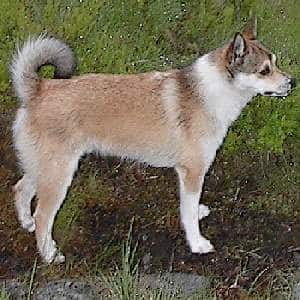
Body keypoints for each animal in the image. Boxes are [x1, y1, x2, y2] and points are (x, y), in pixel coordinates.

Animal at [11, 18, 296, 262]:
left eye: (274, 62)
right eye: (264, 70)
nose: (292, 82)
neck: (211, 93)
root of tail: (38, 90)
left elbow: (190, 206)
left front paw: (198, 213)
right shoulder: (193, 172)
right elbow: (188, 212)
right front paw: (197, 244)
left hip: (44, 169)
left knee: (21, 190)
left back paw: (26, 222)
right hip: (59, 175)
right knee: (43, 215)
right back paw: (49, 254)